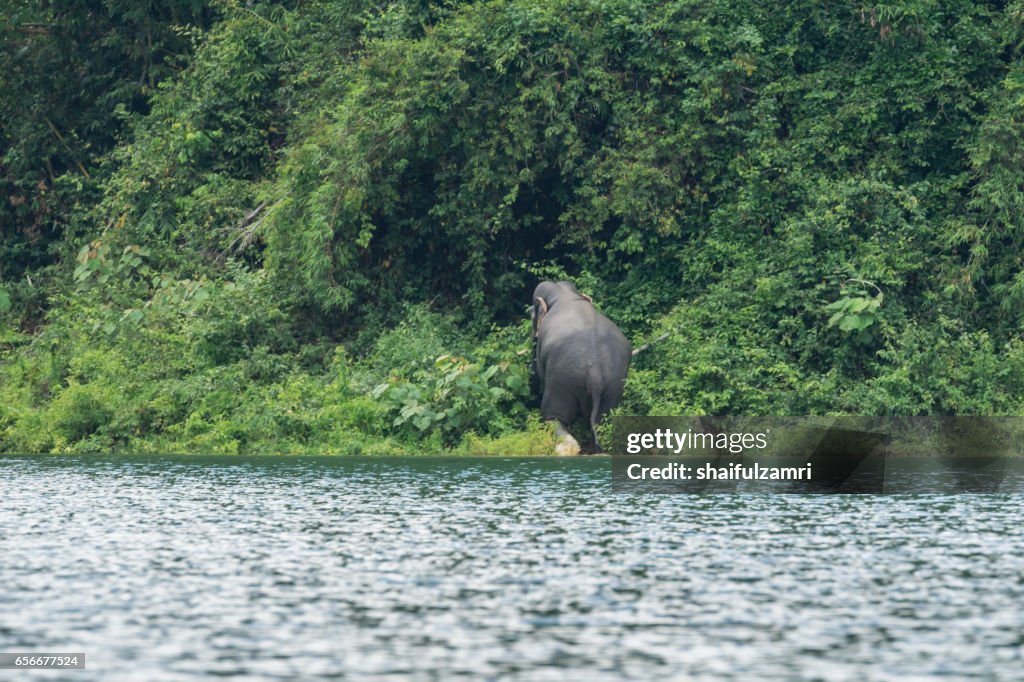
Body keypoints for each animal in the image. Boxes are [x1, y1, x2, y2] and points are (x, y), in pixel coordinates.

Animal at [528, 278, 630, 454]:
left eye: (532, 313)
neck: (565, 295)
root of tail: (595, 372)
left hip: (562, 378)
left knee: (554, 417)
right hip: (615, 384)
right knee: (602, 420)